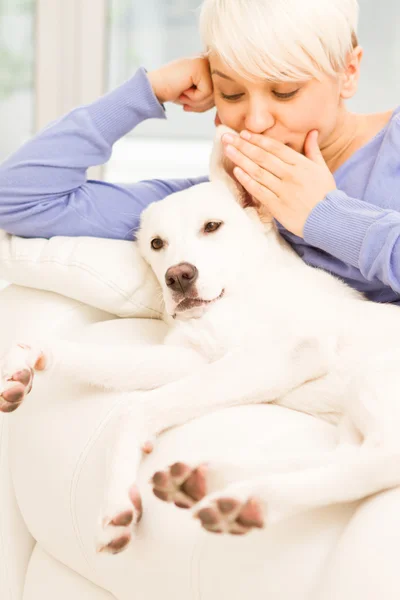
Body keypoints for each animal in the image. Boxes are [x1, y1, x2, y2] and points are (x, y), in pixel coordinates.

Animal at [0, 125, 400, 552]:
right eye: (157, 244)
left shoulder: (286, 352)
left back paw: (252, 502)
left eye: (212, 227)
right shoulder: (192, 360)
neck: (237, 291)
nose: (178, 277)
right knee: (351, 455)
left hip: (371, 378)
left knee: (378, 461)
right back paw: (209, 477)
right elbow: (109, 370)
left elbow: (138, 407)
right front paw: (30, 357)